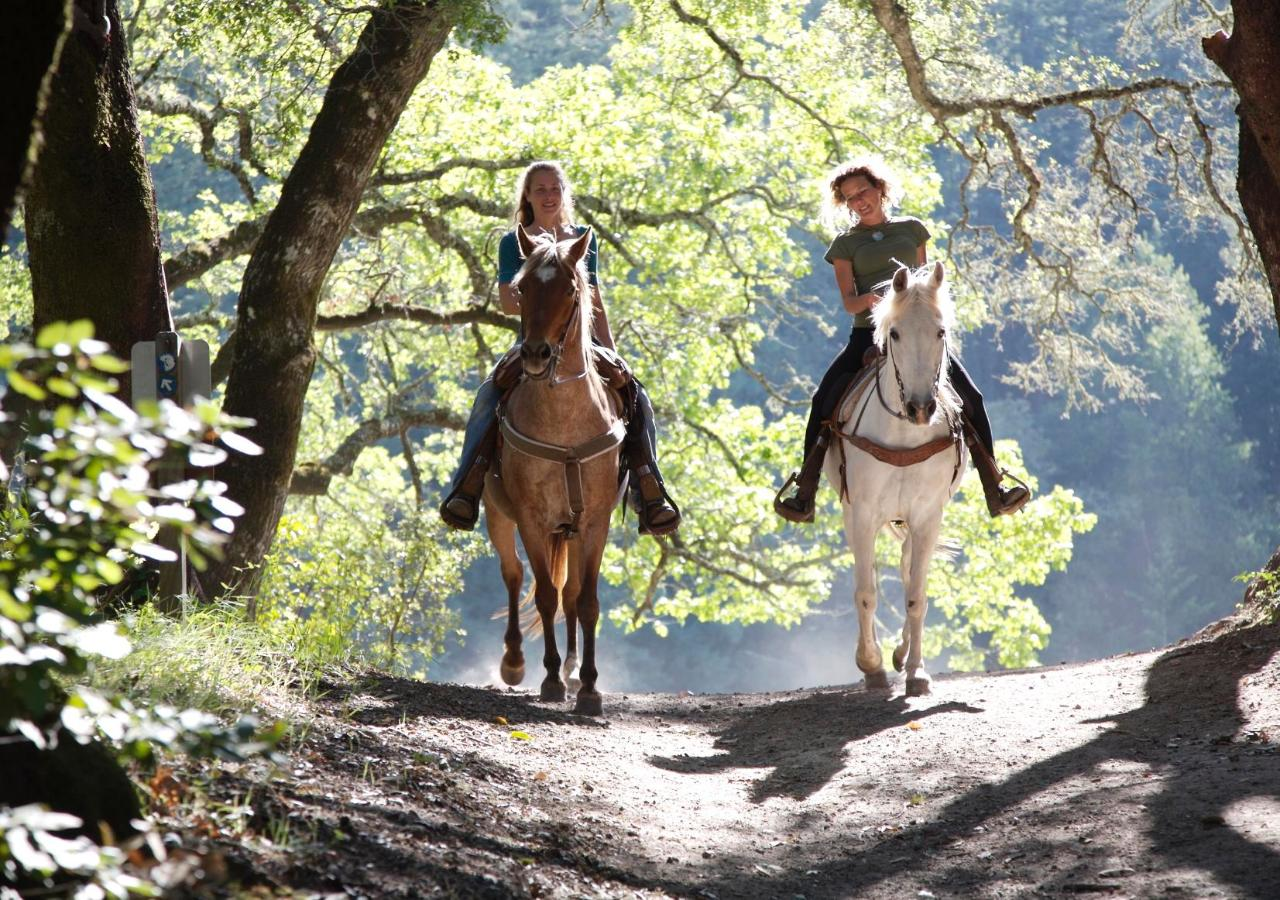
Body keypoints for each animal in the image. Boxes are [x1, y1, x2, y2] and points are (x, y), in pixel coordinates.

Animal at [481, 226, 622, 716]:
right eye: (522, 289)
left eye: (571, 290)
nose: (537, 355)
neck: (564, 426)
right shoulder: (532, 519)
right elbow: (542, 594)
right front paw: (549, 681)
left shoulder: (595, 522)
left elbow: (588, 601)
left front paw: (590, 688)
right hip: (497, 515)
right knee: (513, 575)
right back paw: (515, 662)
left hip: (572, 531)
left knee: (572, 594)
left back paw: (574, 668)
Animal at [824, 261, 962, 696]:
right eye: (896, 333)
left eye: (940, 331)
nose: (921, 408)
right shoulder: (863, 513)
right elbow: (866, 592)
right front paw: (871, 665)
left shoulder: (927, 516)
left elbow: (916, 595)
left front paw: (916, 672)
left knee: (905, 570)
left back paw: (901, 655)